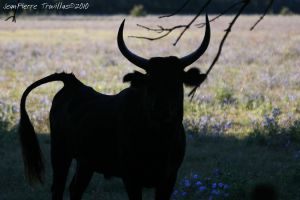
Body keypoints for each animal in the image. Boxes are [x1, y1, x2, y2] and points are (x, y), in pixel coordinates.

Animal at [18, 15, 211, 200]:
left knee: (75, 188)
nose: (160, 109)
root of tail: (71, 82)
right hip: (60, 153)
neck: (159, 140)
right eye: (149, 82)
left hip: (86, 162)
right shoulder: (131, 178)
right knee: (58, 189)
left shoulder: (169, 179)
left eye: (176, 82)